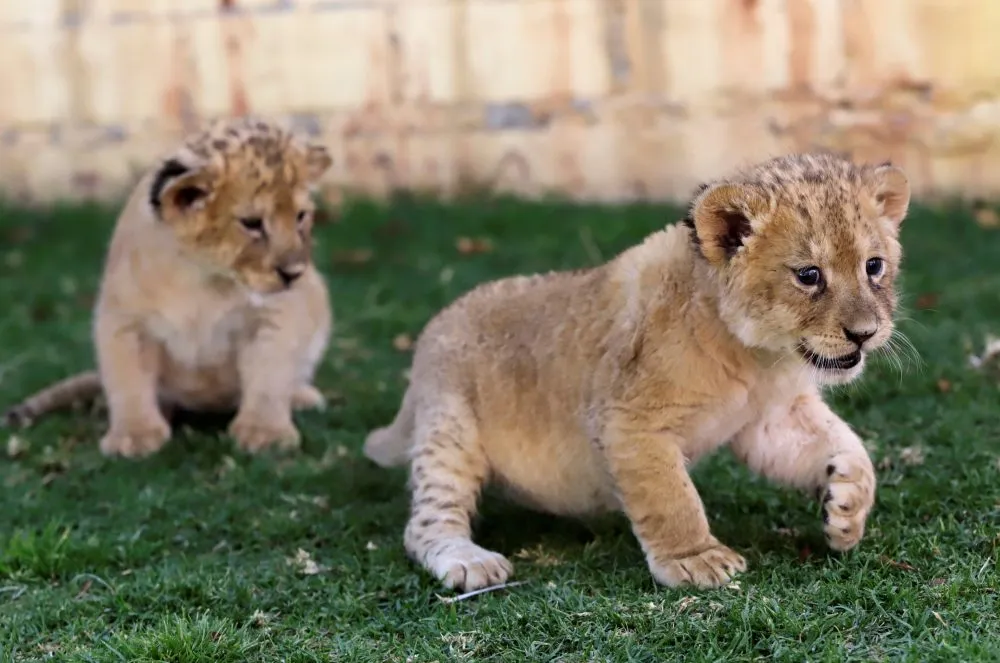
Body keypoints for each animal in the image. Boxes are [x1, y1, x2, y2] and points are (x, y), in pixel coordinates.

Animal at [4, 116, 334, 458]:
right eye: (252, 223)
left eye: (301, 216)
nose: (294, 274)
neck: (205, 276)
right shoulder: (124, 318)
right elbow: (128, 378)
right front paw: (134, 435)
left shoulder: (276, 315)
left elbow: (271, 374)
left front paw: (265, 433)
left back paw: (303, 397)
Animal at [364, 153, 910, 592]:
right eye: (809, 275)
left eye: (874, 266)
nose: (865, 334)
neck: (757, 357)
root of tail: (434, 326)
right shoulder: (628, 421)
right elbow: (671, 497)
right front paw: (696, 559)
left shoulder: (769, 419)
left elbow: (842, 444)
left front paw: (848, 505)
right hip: (449, 428)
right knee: (427, 522)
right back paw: (469, 561)